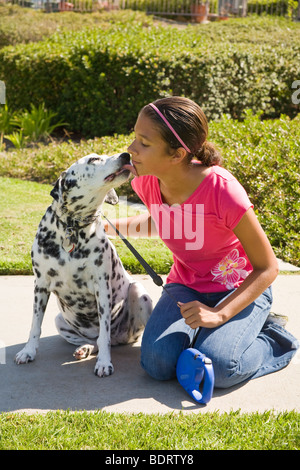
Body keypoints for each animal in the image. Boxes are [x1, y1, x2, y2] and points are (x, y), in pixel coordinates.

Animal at [14, 152, 152, 376]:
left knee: (108, 336)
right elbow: (35, 325)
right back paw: (85, 348)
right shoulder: (40, 285)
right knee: (93, 341)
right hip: (60, 320)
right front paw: (28, 351)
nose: (126, 154)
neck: (72, 227)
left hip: (139, 293)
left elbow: (104, 335)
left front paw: (104, 362)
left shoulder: (102, 288)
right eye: (94, 159)